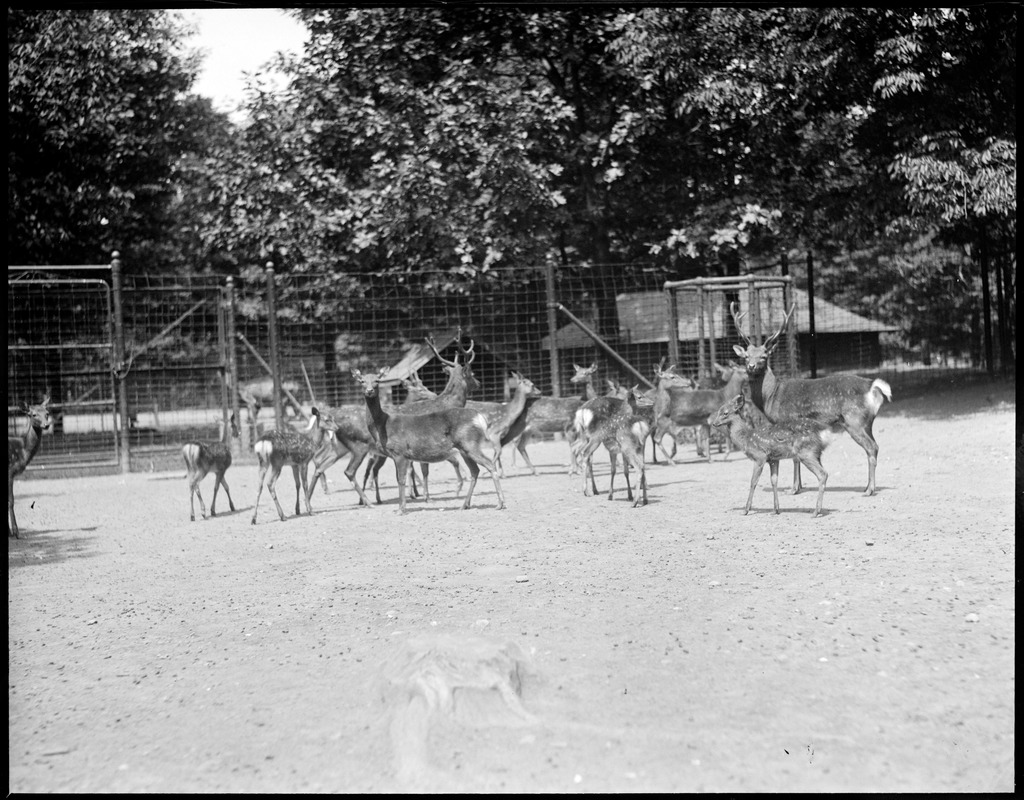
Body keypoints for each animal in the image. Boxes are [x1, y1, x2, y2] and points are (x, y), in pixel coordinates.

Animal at [7, 393, 52, 536]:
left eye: (47, 413)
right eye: (33, 414)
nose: (46, 425)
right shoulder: (10, 471)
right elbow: (11, 500)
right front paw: (15, 532)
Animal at [733, 303, 892, 495]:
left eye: (764, 356)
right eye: (746, 356)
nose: (751, 366)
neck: (771, 396)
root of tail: (872, 386)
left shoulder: (789, 421)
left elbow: (794, 457)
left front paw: (793, 489)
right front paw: (799, 486)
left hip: (854, 421)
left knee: (871, 447)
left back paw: (869, 490)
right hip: (867, 423)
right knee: (875, 446)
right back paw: (868, 487)